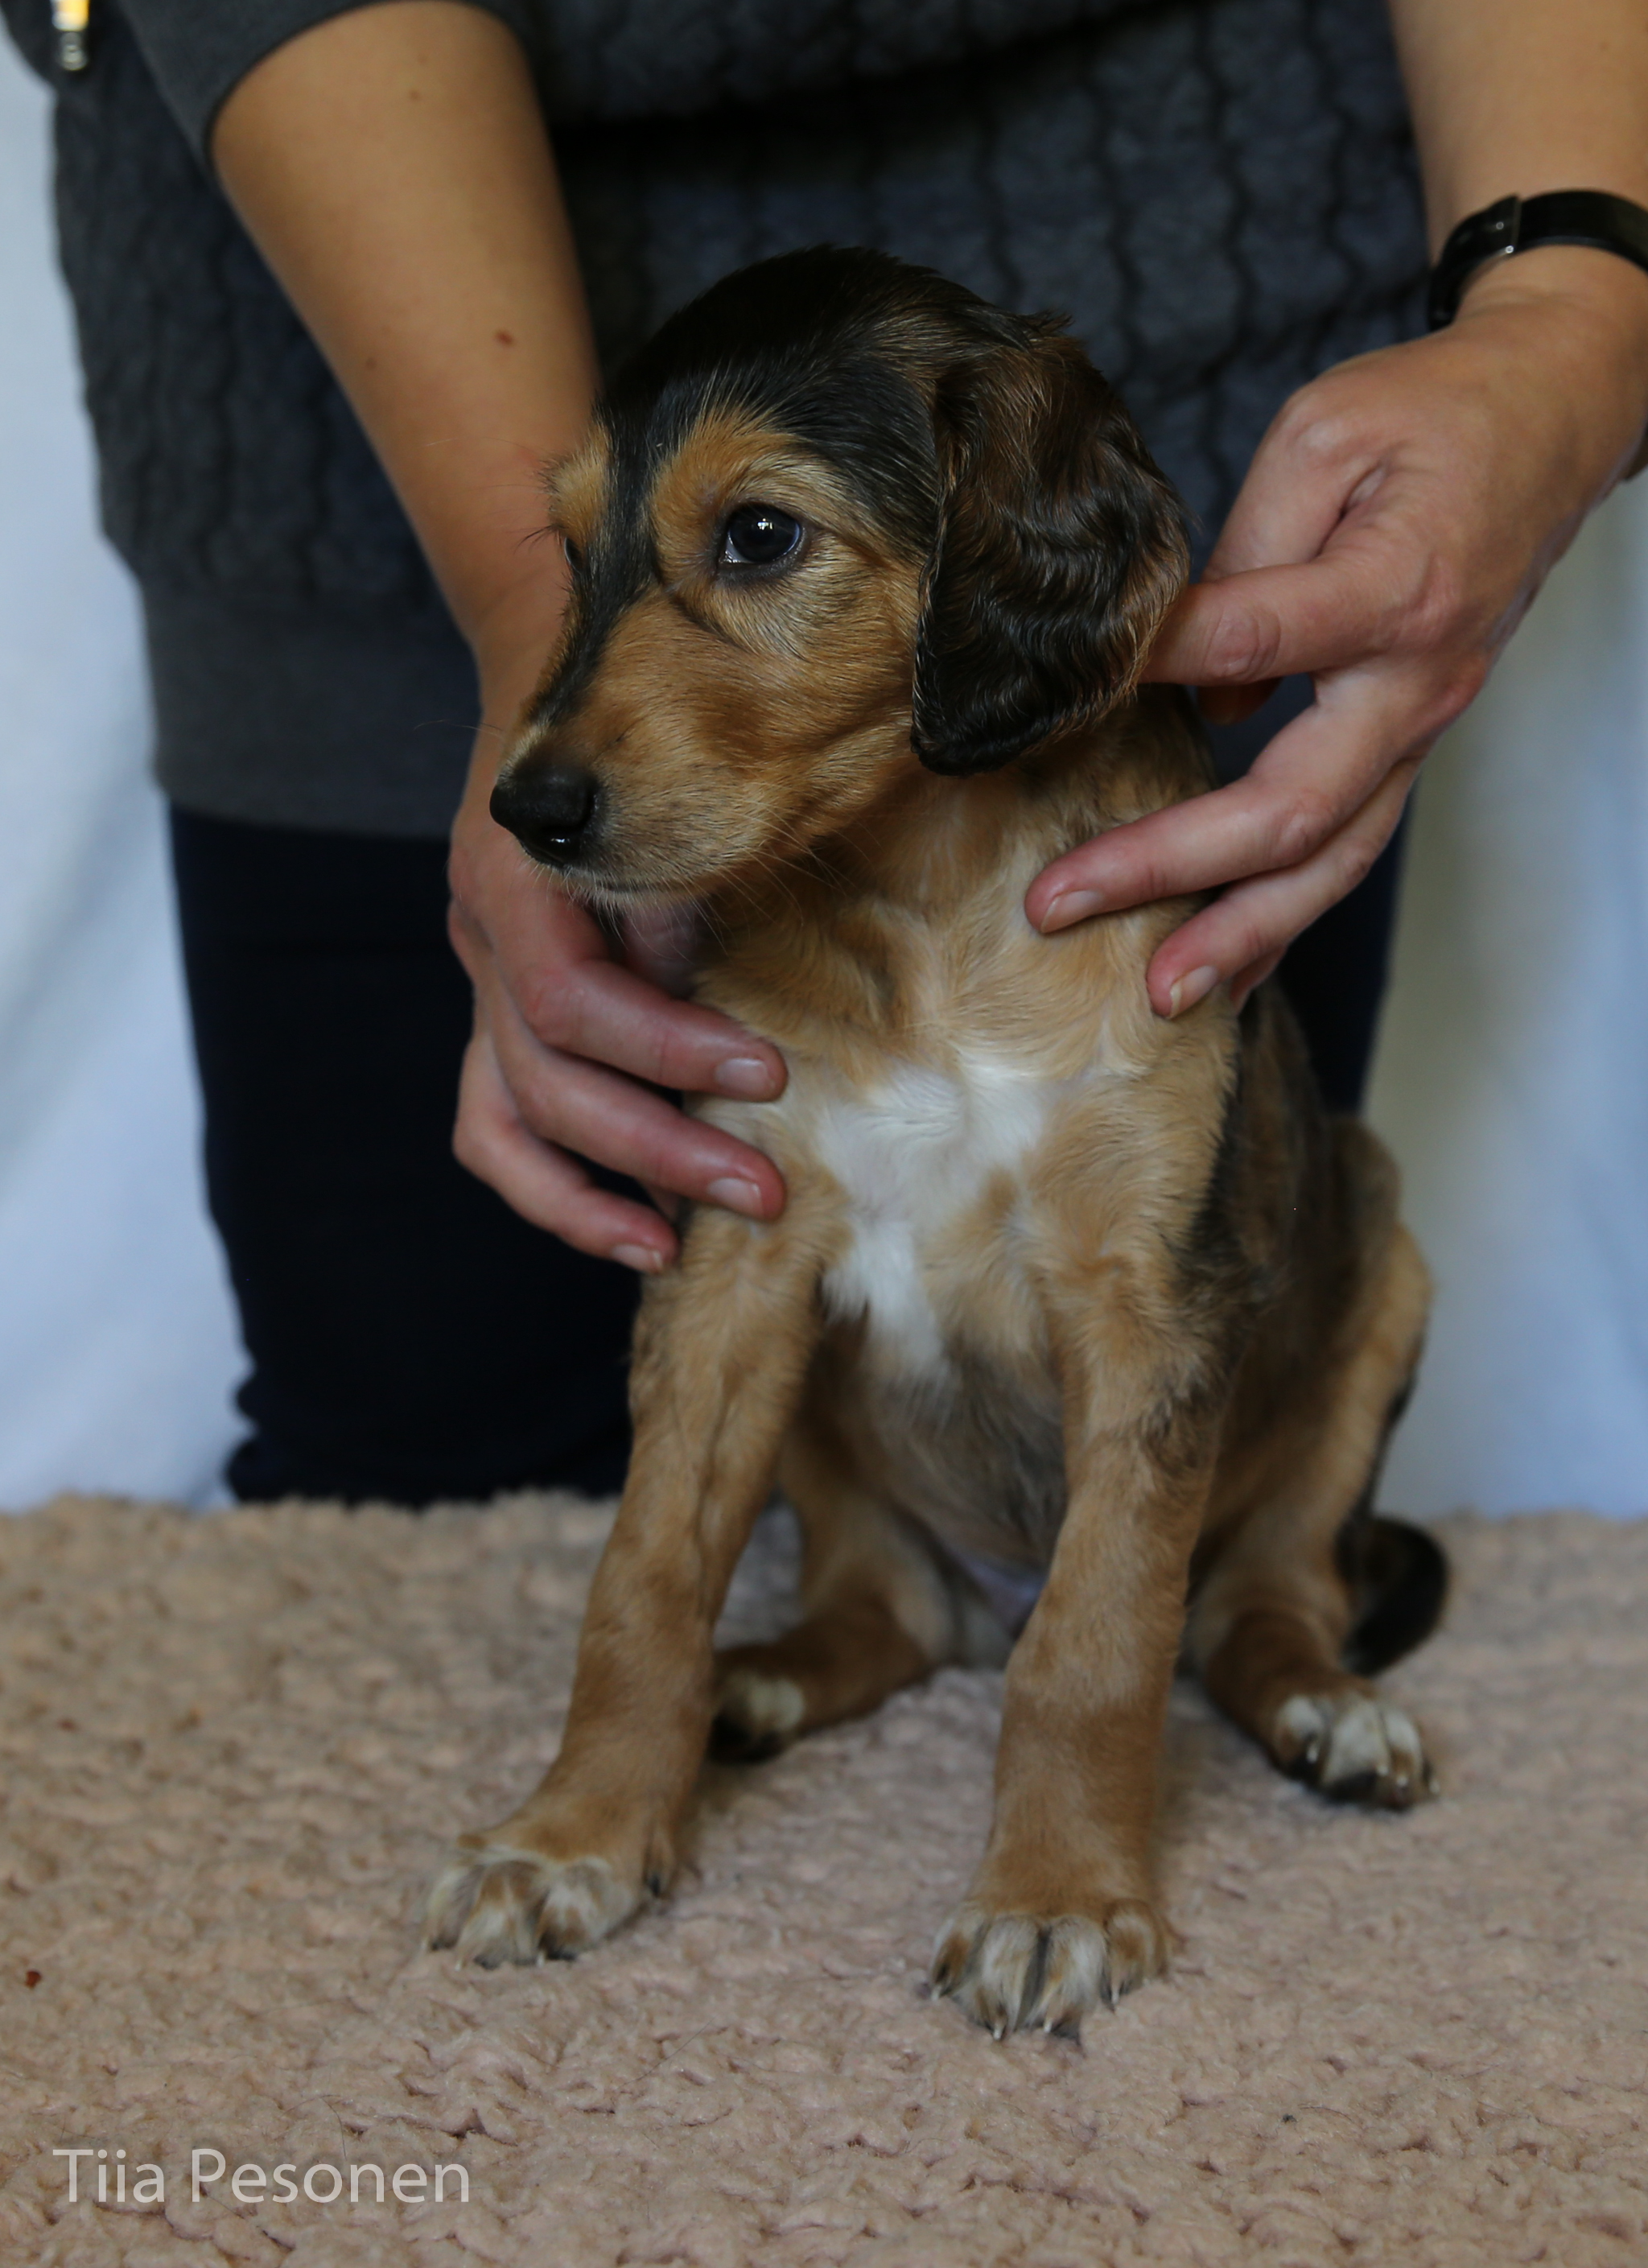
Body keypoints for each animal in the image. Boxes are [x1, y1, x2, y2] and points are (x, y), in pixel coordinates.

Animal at [427, 247, 1446, 2037]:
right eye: (567, 550)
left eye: (760, 535)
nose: (525, 817)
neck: (922, 902)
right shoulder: (733, 1253)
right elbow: (641, 1574)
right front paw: (575, 1835)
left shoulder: (1151, 1292)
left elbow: (1100, 1633)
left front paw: (1054, 1899)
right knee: (878, 1610)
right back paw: (755, 1686)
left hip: (1380, 1263)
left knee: (1256, 1604)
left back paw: (1332, 1713)